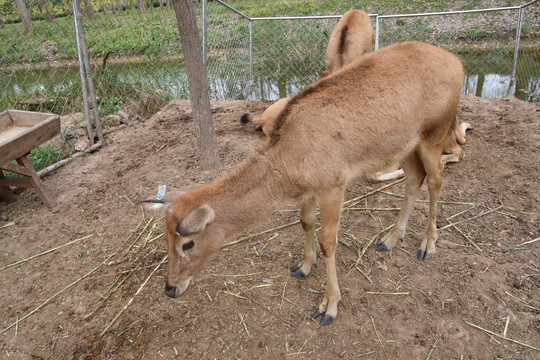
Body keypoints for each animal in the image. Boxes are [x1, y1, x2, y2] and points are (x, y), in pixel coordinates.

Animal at [143, 42, 464, 326]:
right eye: (164, 238)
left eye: (187, 243)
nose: (170, 288)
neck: (288, 163)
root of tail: (457, 63)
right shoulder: (309, 191)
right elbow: (305, 222)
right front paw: (303, 267)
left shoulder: (333, 185)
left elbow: (328, 242)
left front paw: (328, 307)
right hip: (407, 145)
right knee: (415, 179)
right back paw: (389, 239)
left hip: (435, 133)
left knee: (436, 179)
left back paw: (427, 246)